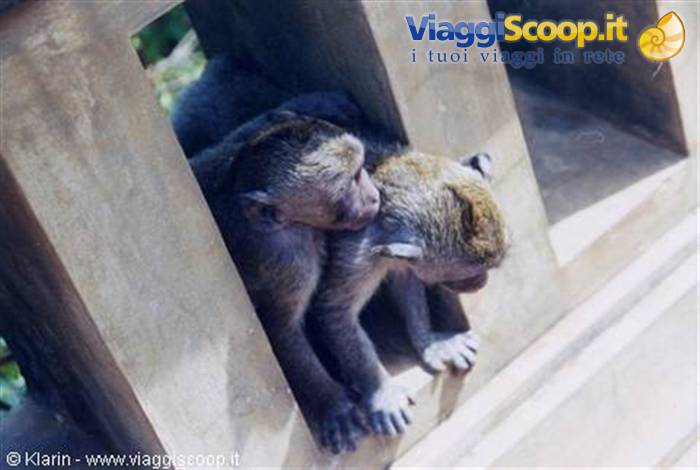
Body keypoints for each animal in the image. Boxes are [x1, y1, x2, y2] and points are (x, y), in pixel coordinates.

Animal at [190, 111, 380, 454]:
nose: (374, 197)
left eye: (361, 170)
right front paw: (332, 403)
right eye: (352, 181)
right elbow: (279, 328)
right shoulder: (288, 262)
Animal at [310, 150, 507, 437]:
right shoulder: (357, 256)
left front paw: (428, 342)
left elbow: (405, 280)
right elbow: (336, 311)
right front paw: (380, 391)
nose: (482, 281)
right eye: (469, 275)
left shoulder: (394, 256)